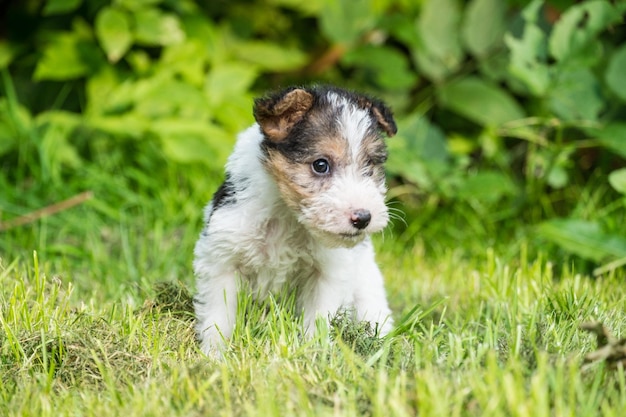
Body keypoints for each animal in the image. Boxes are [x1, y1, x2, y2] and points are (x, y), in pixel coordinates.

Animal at [193, 84, 394, 354]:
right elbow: (218, 315)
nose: (363, 218)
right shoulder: (222, 259)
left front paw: (314, 353)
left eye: (369, 165)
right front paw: (215, 354)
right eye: (321, 165)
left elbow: (318, 318)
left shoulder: (326, 272)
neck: (287, 214)